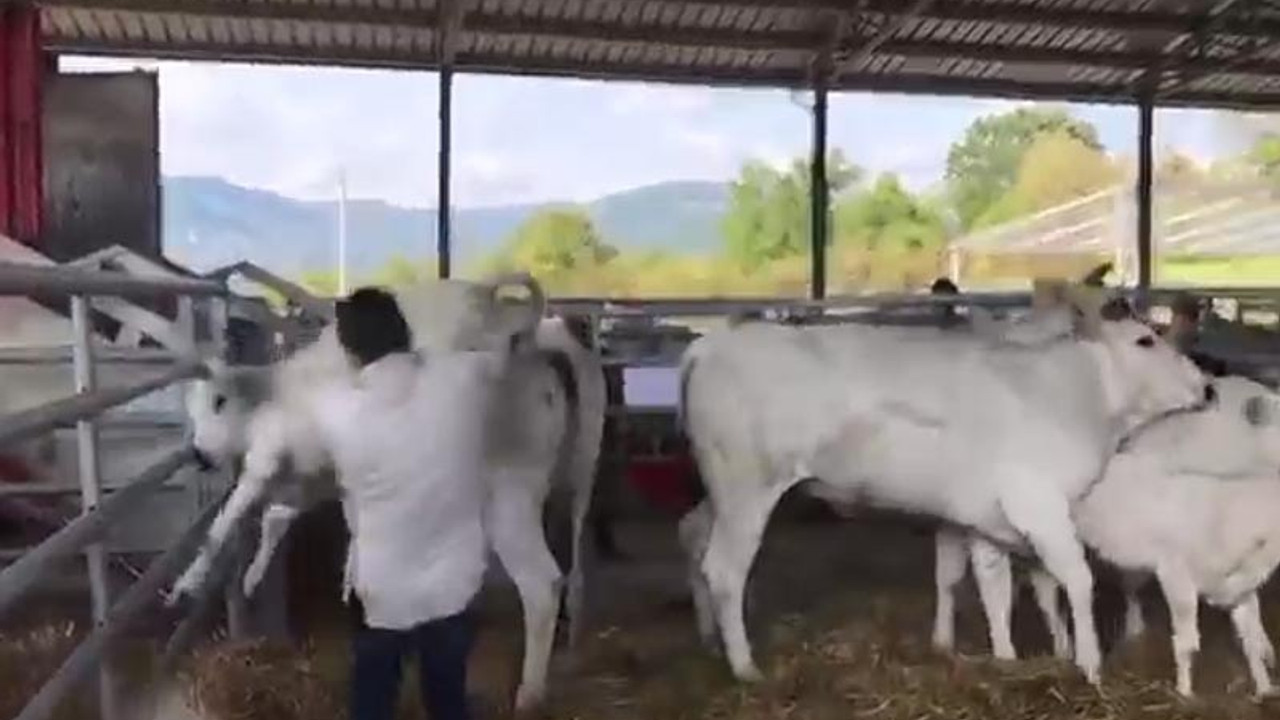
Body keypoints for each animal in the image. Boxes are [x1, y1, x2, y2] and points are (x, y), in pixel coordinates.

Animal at [168, 272, 604, 707]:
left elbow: (226, 518)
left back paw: (529, 693)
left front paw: (186, 583)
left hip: (507, 496)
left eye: (219, 401)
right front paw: (254, 575)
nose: (200, 455)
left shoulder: (268, 457)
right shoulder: (321, 476)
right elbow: (277, 518)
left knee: (542, 583)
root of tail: (535, 339)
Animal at [680, 270, 1208, 681]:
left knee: (694, 537)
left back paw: (710, 639)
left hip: (724, 490)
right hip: (749, 489)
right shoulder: (1039, 505)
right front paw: (1090, 665)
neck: (1070, 391)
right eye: (1145, 340)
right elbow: (1076, 580)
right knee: (724, 569)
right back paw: (745, 667)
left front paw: (1007, 658)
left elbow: (992, 588)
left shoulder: (984, 518)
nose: (1205, 387)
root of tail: (710, 345)